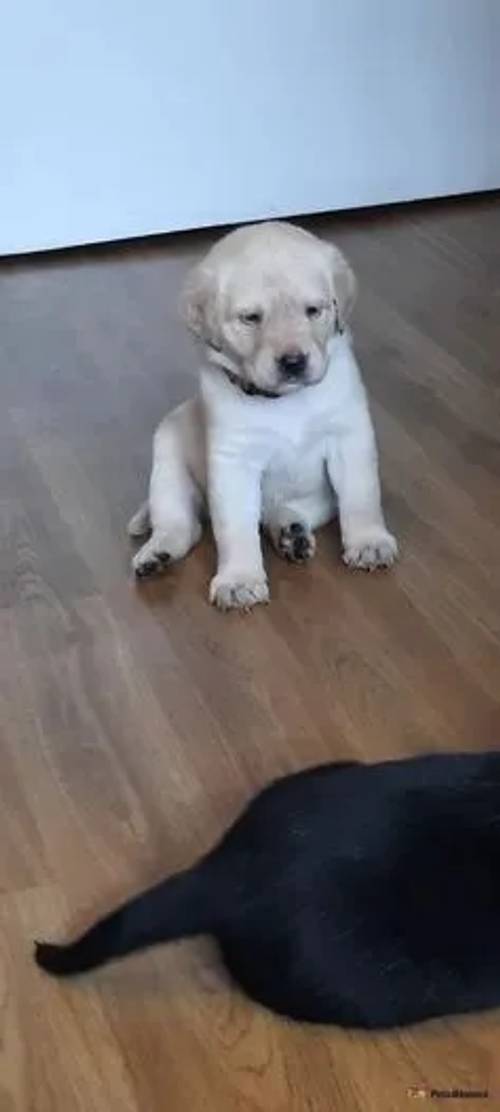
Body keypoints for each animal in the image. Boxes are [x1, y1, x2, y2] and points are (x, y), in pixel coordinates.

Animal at [130, 221, 397, 613]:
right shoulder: (233, 462)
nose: (293, 362)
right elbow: (235, 527)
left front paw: (369, 541)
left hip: (313, 500)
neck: (285, 401)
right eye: (251, 318)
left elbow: (361, 495)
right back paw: (158, 553)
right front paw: (239, 580)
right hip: (167, 456)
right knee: (182, 524)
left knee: (281, 511)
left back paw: (290, 532)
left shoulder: (349, 437)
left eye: (313, 310)